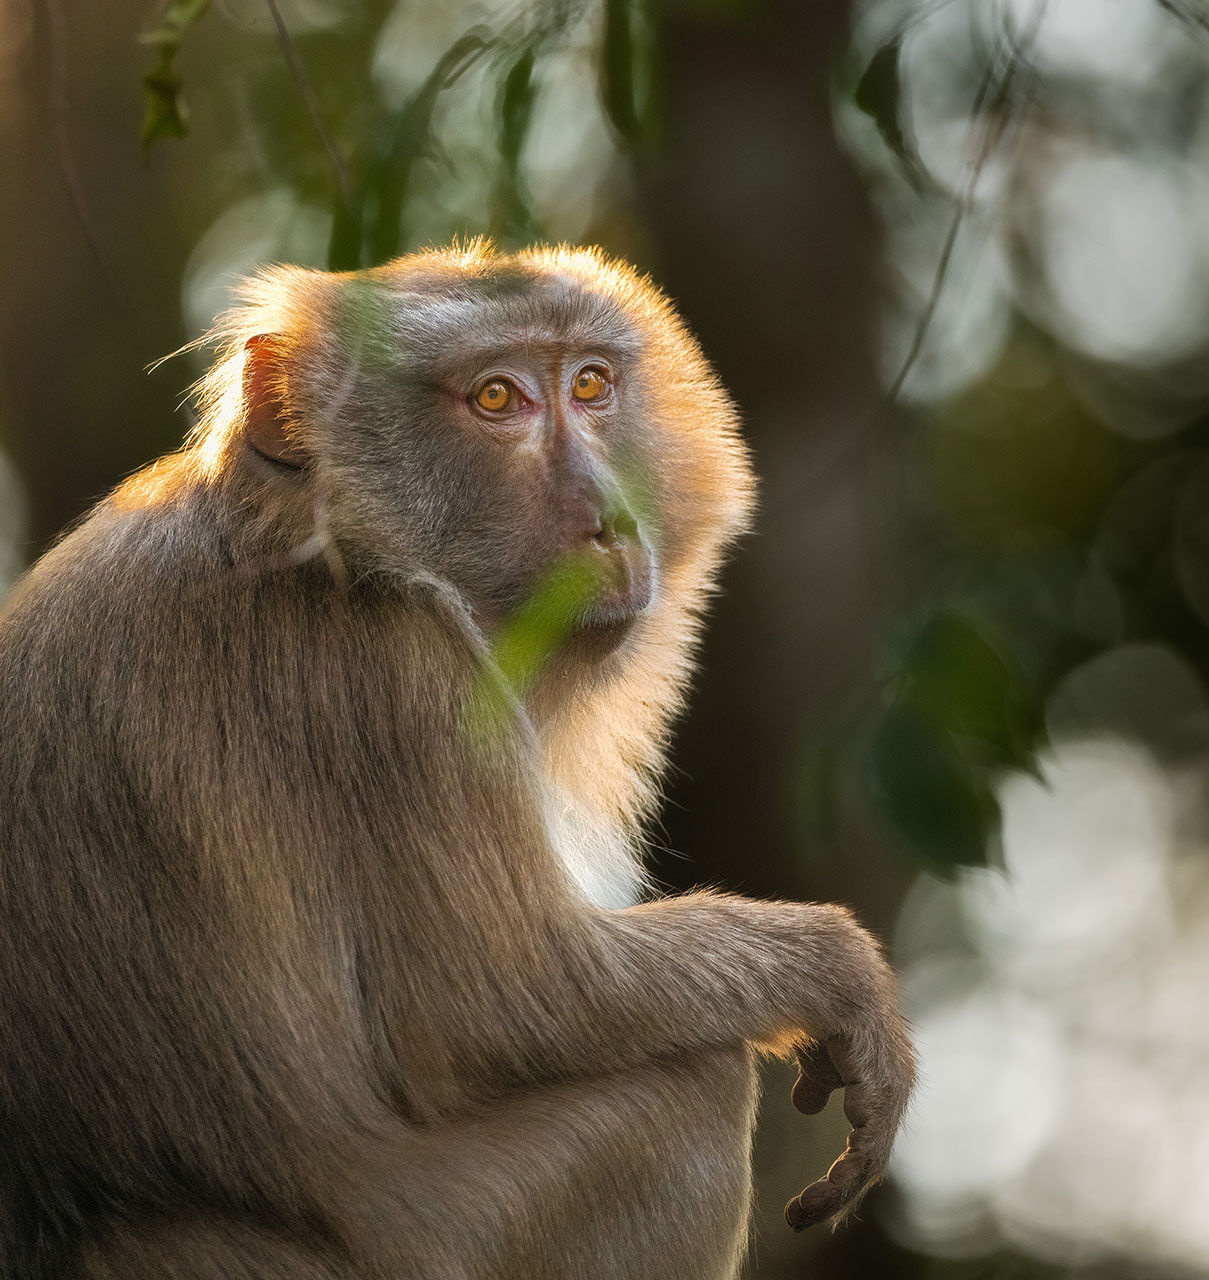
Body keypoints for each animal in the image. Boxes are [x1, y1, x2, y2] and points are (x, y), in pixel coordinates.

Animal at [0, 241, 916, 1280]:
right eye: (496, 400)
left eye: (590, 384)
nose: (612, 518)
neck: (308, 539)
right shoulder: (395, 678)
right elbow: (507, 1001)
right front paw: (836, 972)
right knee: (694, 1095)